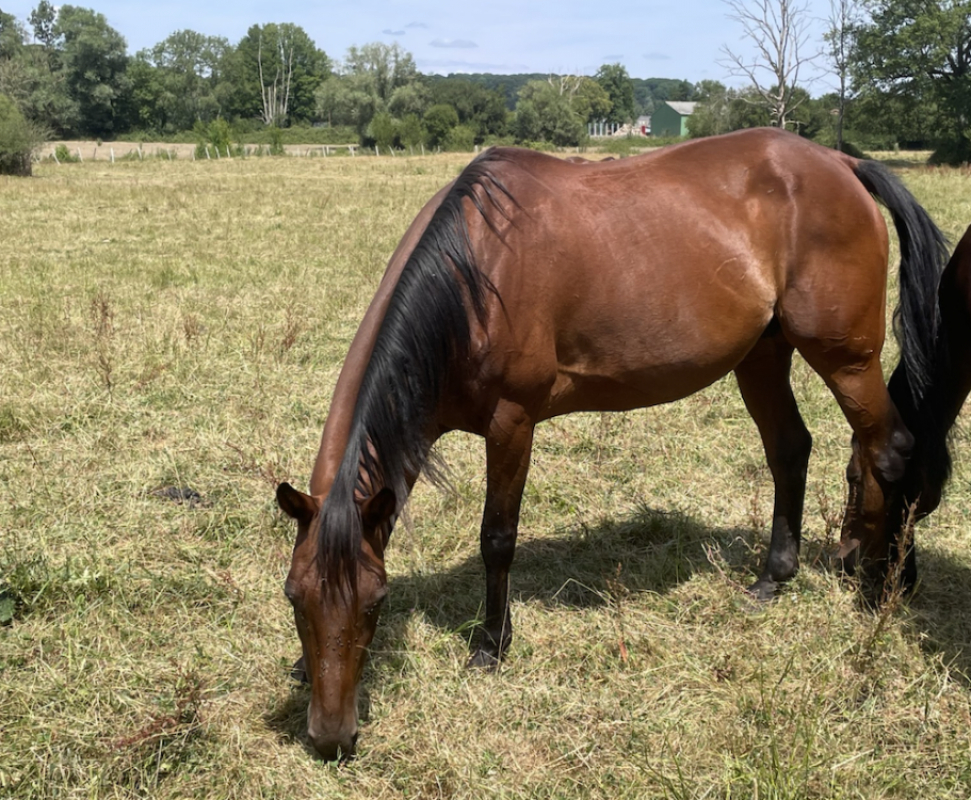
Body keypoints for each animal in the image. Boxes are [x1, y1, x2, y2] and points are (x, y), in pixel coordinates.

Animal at [276, 128, 948, 760]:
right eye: (293, 598)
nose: (330, 737)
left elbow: (497, 539)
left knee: (888, 450)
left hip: (846, 361)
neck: (474, 277)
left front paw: (492, 646)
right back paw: (772, 580)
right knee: (791, 450)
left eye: (376, 603)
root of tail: (843, 165)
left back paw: (885, 587)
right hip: (762, 355)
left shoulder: (512, 423)